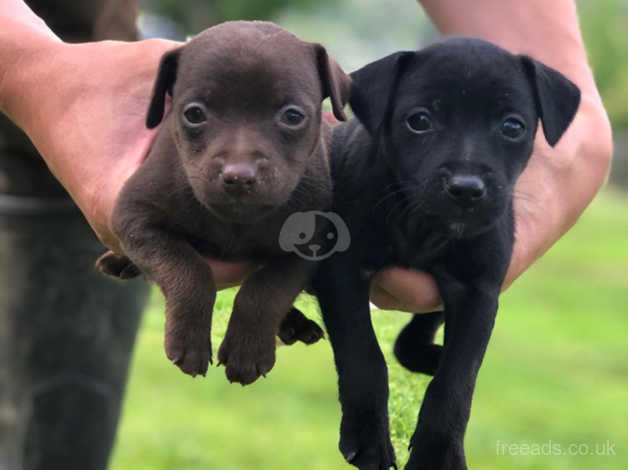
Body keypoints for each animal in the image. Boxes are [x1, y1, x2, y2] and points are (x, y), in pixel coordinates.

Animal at [95, 20, 350, 384]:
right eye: (194, 114)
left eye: (292, 116)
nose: (239, 175)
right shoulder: (136, 218)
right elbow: (188, 270)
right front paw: (189, 342)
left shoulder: (307, 244)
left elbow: (267, 289)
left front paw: (248, 351)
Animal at [316, 37, 580, 470]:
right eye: (419, 120)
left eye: (512, 126)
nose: (467, 189)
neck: (422, 224)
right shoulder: (343, 271)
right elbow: (364, 356)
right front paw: (369, 438)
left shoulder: (477, 291)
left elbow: (456, 381)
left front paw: (437, 453)